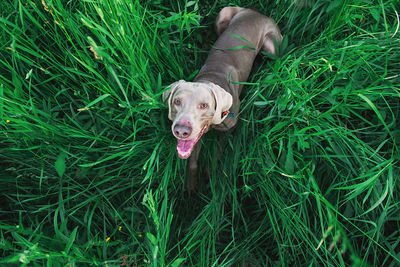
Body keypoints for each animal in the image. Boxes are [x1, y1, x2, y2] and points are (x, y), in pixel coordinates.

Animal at [162, 6, 282, 191]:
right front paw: (191, 186)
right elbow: (192, 158)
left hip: (272, 47)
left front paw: (209, 174)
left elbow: (218, 152)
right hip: (223, 14)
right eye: (177, 101)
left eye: (204, 105)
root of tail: (255, 12)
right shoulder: (196, 135)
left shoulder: (229, 129)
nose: (181, 131)